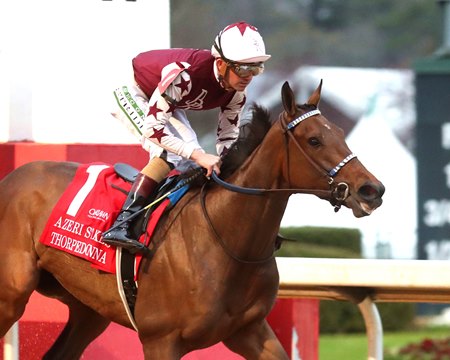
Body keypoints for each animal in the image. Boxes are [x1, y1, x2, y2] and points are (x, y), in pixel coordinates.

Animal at [0, 82, 384, 360]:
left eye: (341, 133)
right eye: (314, 140)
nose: (372, 189)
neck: (226, 241)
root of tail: (12, 177)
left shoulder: (250, 331)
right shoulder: (160, 340)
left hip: (88, 311)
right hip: (12, 294)